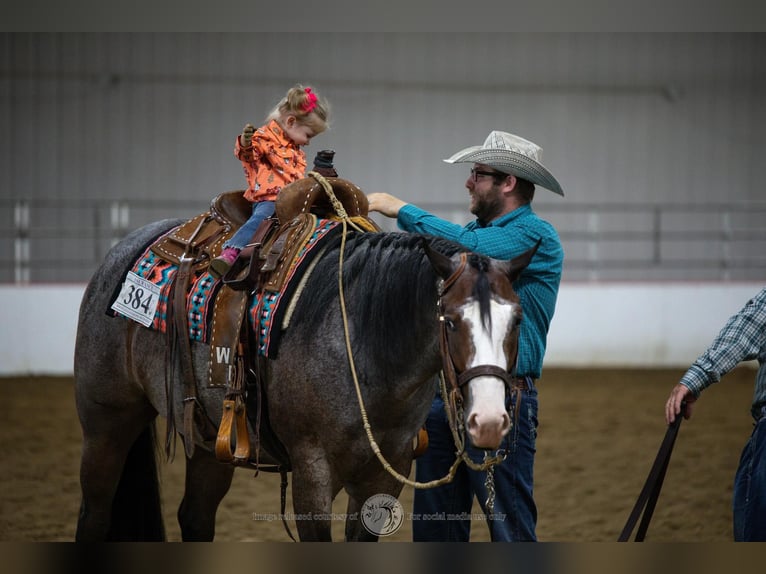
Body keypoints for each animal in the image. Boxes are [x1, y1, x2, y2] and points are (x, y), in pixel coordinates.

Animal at [73, 215, 538, 541]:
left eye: (517, 319)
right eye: (451, 321)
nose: (489, 421)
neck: (364, 343)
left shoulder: (386, 472)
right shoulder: (312, 472)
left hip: (208, 441)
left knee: (195, 518)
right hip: (106, 424)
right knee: (95, 515)